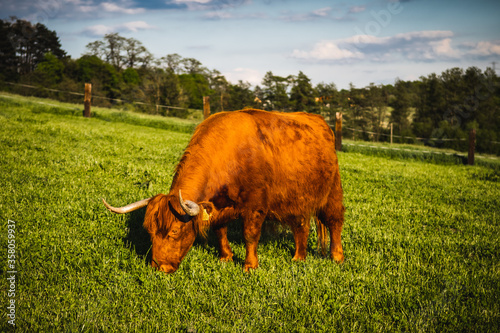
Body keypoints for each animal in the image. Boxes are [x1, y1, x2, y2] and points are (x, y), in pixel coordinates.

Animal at [101, 109, 344, 272]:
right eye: (150, 231)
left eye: (175, 232)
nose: (159, 266)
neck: (230, 154)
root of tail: (319, 121)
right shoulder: (219, 205)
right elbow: (219, 231)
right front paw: (226, 257)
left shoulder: (256, 205)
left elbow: (250, 234)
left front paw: (249, 265)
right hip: (297, 198)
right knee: (301, 226)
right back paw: (298, 257)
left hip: (332, 192)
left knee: (335, 222)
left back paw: (337, 256)